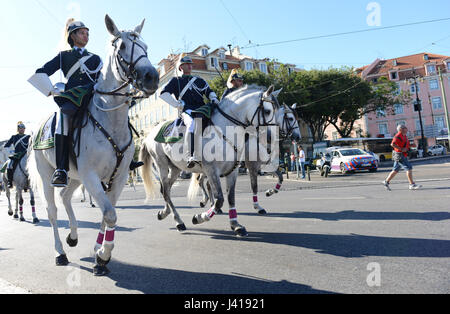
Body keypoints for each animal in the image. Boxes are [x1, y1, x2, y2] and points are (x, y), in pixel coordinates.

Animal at [27, 14, 158, 276]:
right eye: (122, 47)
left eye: (145, 47)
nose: (152, 77)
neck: (111, 119)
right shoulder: (91, 175)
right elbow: (110, 213)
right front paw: (104, 255)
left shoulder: (117, 177)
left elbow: (108, 214)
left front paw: (100, 254)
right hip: (48, 175)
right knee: (52, 211)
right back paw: (60, 252)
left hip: (74, 177)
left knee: (65, 196)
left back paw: (73, 236)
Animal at [141, 84, 280, 237]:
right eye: (267, 111)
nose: (270, 138)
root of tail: (149, 135)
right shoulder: (212, 170)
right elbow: (220, 199)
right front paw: (199, 217)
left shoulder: (233, 171)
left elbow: (230, 197)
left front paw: (236, 225)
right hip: (162, 165)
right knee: (166, 190)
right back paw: (178, 221)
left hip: (175, 168)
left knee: (166, 189)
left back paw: (165, 213)